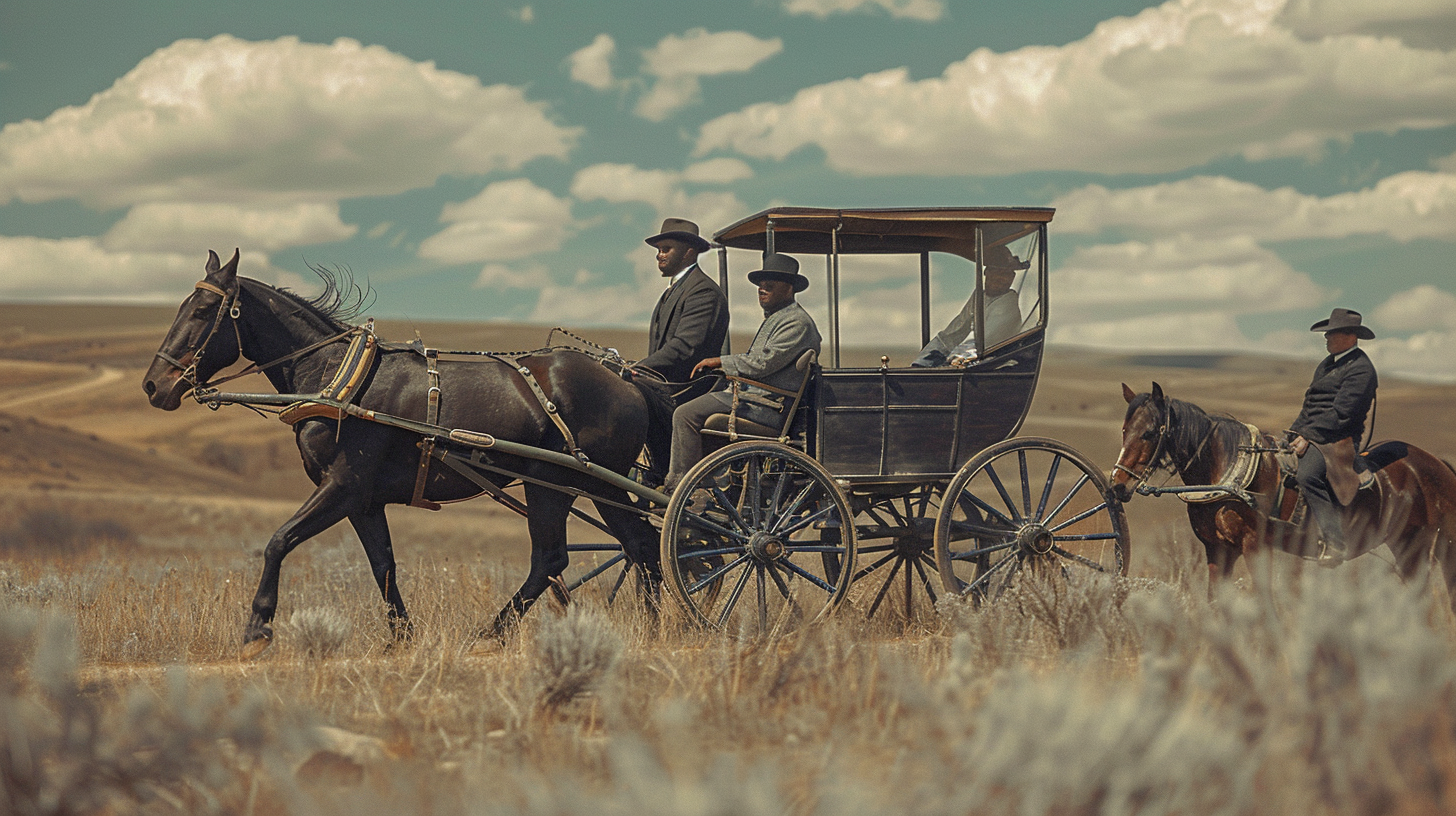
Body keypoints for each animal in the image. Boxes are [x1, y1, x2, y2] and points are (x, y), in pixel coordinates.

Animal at [144, 208, 1124, 649]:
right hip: (563, 482)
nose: (155, 384)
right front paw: (400, 633)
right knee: (621, 547)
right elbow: (381, 566)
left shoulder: (348, 486)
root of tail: (626, 381)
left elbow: (275, 542)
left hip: (567, 478)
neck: (344, 382)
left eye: (203, 309)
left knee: (640, 542)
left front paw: (258, 628)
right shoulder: (365, 495)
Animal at [1106, 381, 1456, 606]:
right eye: (1123, 430)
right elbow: (1215, 604)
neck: (1226, 472)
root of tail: (1438, 464)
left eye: (1149, 432)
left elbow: (1265, 603)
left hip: (1420, 547)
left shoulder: (1255, 546)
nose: (1117, 485)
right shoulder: (1217, 550)